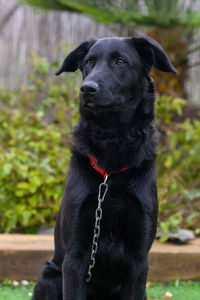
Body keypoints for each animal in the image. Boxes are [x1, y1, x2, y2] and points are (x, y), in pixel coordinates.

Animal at [32, 35, 177, 300]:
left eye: (120, 61)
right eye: (89, 62)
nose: (87, 88)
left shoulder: (139, 260)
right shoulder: (75, 256)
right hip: (49, 275)